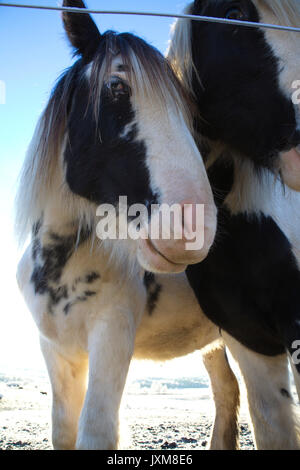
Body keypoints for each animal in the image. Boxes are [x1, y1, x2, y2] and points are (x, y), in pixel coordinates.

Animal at [15, 0, 241, 450]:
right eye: (116, 87)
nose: (193, 229)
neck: (59, 263)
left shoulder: (112, 338)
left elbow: (95, 430)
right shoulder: (56, 350)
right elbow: (63, 429)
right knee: (227, 393)